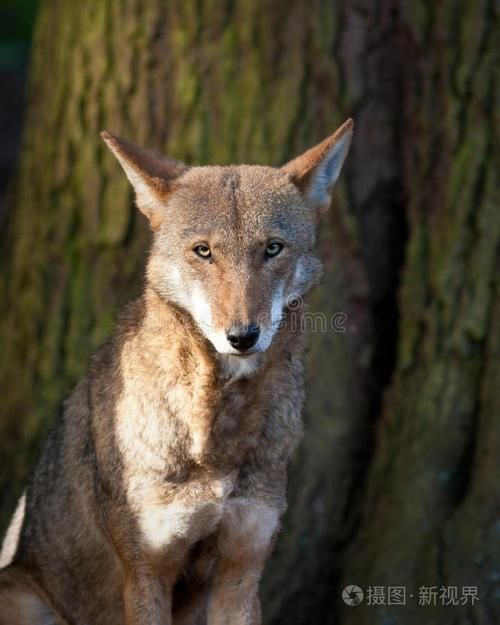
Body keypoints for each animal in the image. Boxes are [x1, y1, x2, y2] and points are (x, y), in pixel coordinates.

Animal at [0, 118, 352, 624]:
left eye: (272, 249)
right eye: (203, 251)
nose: (242, 336)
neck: (217, 435)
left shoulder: (241, 576)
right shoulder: (146, 577)